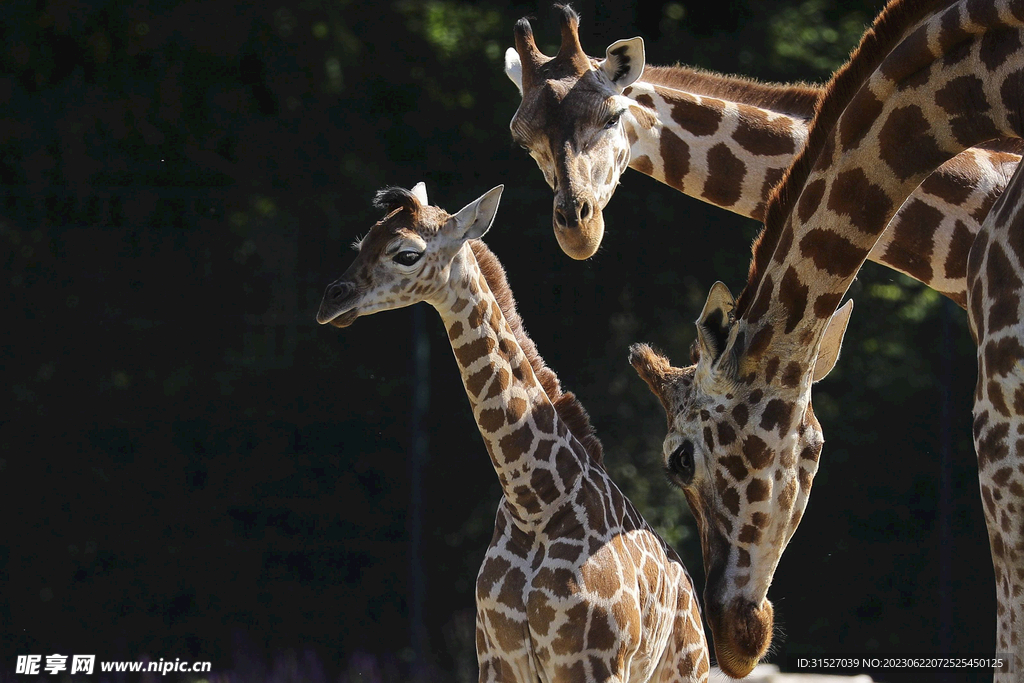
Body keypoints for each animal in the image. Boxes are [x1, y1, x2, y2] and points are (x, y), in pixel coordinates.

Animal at [315, 184, 708, 679]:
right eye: (362, 241)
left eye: (406, 253)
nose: (331, 300)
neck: (533, 502)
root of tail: (691, 593)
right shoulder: (497, 658)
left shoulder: (591, 662)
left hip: (688, 667)